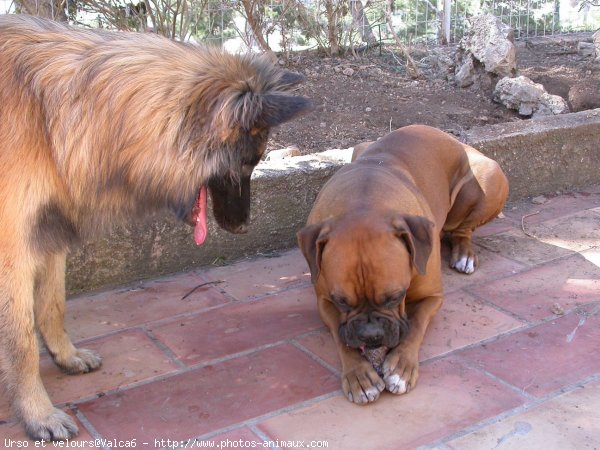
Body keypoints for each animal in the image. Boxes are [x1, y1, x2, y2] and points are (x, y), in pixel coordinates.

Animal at [0, 14, 310, 440]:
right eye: (247, 162)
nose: (245, 228)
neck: (53, 116)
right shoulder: (14, 251)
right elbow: (22, 344)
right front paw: (38, 414)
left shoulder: (49, 231)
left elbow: (53, 305)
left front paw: (66, 356)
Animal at [296, 125, 506, 404]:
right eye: (342, 302)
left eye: (395, 297)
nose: (371, 335)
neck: (364, 199)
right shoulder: (325, 302)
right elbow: (342, 339)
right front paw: (358, 375)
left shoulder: (432, 297)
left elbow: (415, 325)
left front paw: (401, 368)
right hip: (360, 146)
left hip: (491, 176)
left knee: (463, 229)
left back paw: (464, 254)